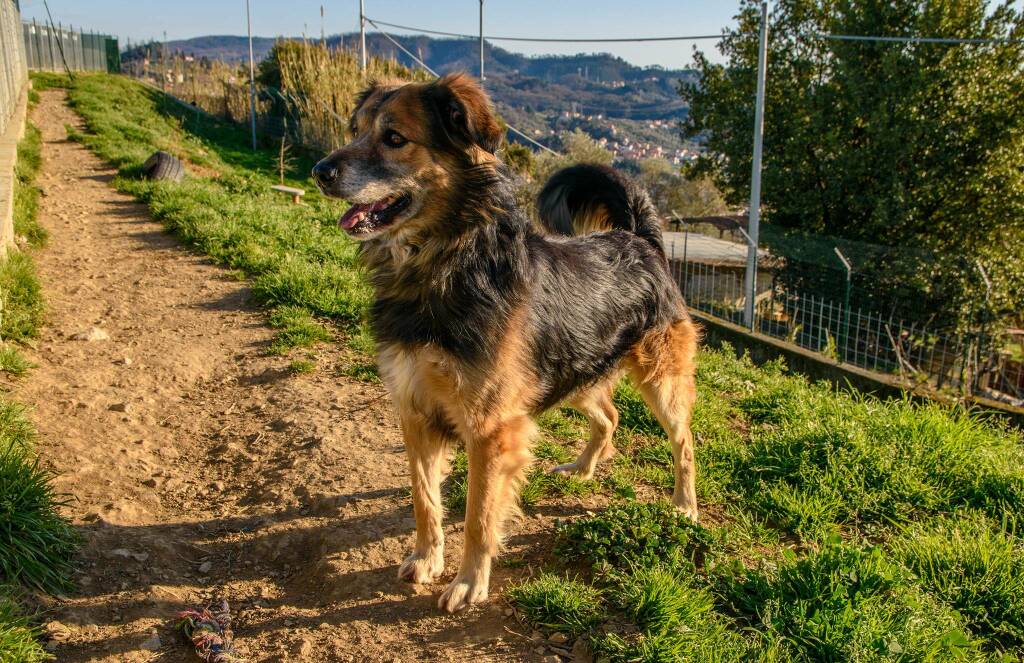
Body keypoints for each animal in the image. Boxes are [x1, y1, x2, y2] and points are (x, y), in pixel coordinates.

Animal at [309, 71, 696, 610]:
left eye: (394, 138)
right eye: (356, 130)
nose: (318, 171)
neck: (443, 266)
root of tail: (639, 239)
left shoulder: (491, 427)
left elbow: (478, 515)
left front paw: (470, 582)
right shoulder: (415, 409)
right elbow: (424, 498)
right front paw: (427, 559)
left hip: (660, 381)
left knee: (684, 443)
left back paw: (684, 506)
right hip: (569, 371)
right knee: (610, 415)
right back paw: (582, 468)